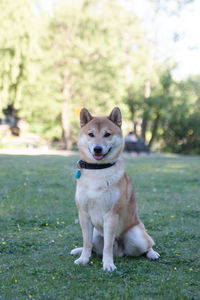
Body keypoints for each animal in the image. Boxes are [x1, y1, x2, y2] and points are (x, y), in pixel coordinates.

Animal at [70, 106, 159, 270]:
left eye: (107, 134)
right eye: (91, 134)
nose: (97, 149)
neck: (98, 171)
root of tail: (120, 250)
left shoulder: (111, 214)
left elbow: (107, 245)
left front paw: (108, 264)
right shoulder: (83, 214)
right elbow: (86, 242)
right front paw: (83, 259)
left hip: (137, 236)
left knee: (148, 245)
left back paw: (152, 253)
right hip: (96, 234)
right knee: (93, 246)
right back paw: (78, 251)